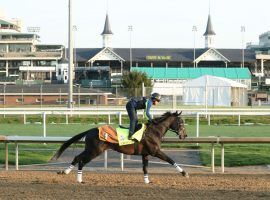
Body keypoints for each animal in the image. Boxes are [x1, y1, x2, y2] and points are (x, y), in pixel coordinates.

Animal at [51, 111, 189, 183]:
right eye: (181, 122)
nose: (185, 135)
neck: (153, 131)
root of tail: (91, 130)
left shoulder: (145, 154)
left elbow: (145, 168)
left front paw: (147, 181)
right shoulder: (156, 152)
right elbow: (171, 160)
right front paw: (184, 173)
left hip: (91, 150)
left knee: (77, 157)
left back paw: (65, 172)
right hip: (94, 151)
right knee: (81, 161)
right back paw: (79, 179)